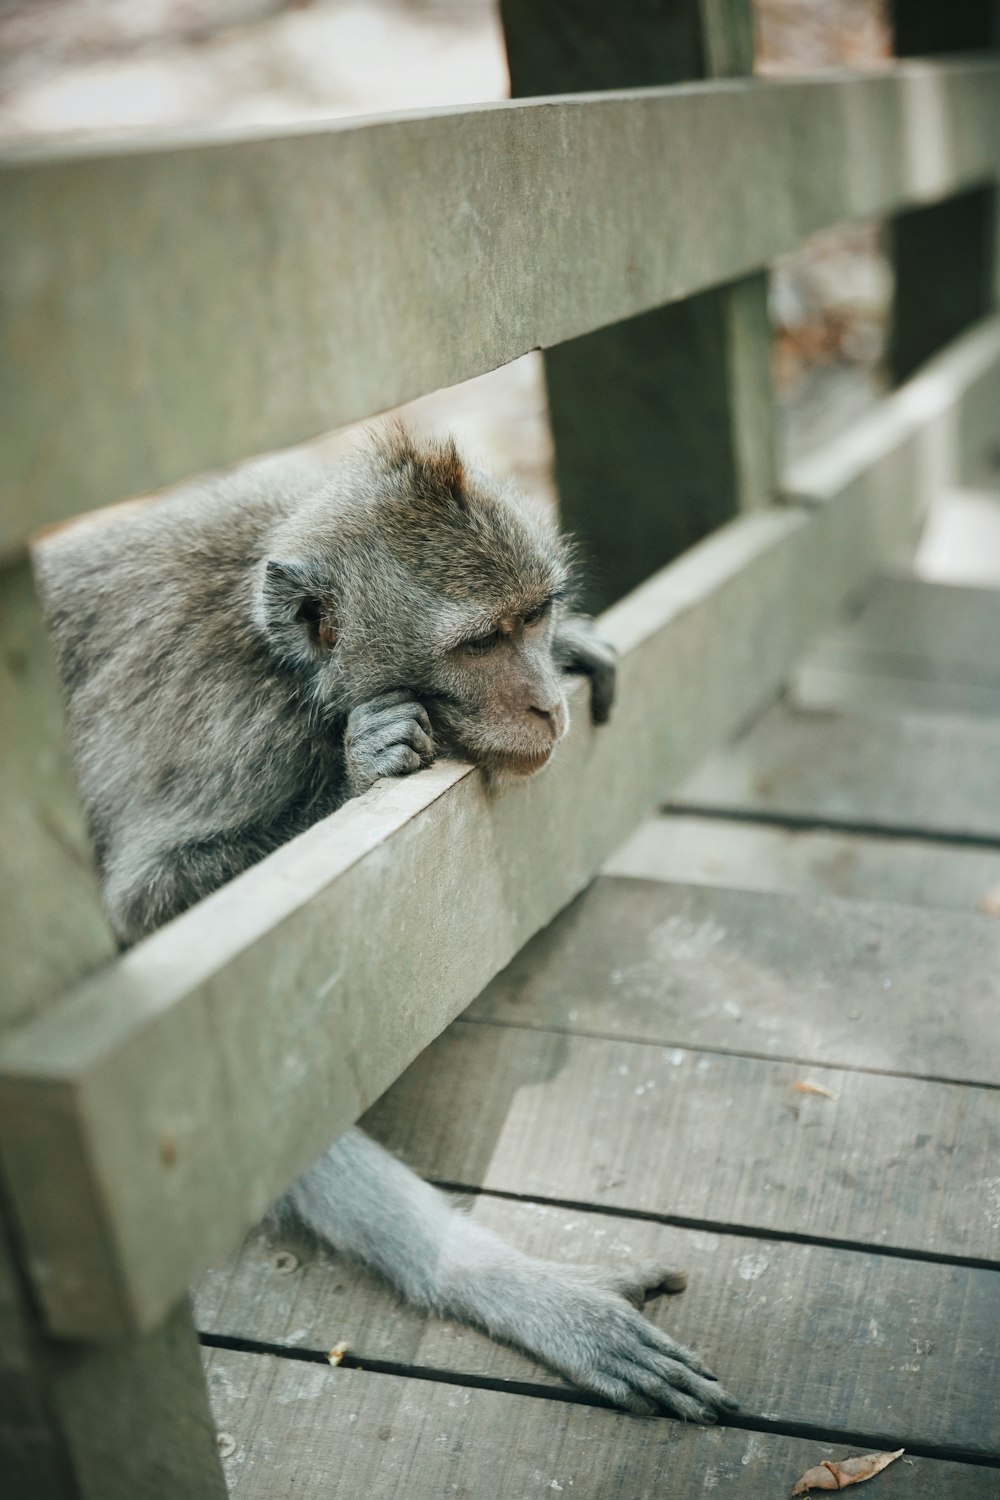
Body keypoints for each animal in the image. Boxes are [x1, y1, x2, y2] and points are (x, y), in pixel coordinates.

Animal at [37, 429, 734, 1422]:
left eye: (532, 617)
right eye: (481, 641)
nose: (545, 702)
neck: (293, 666)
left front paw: (579, 640)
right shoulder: (237, 730)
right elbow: (146, 914)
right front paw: (363, 766)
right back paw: (501, 1282)